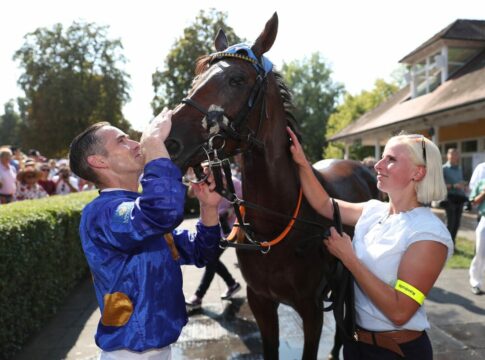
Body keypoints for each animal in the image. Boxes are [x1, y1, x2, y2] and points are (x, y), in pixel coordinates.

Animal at [166, 12, 378, 358]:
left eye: (236, 79)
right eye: (197, 81)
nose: (170, 141)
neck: (276, 223)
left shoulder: (311, 310)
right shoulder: (261, 302)